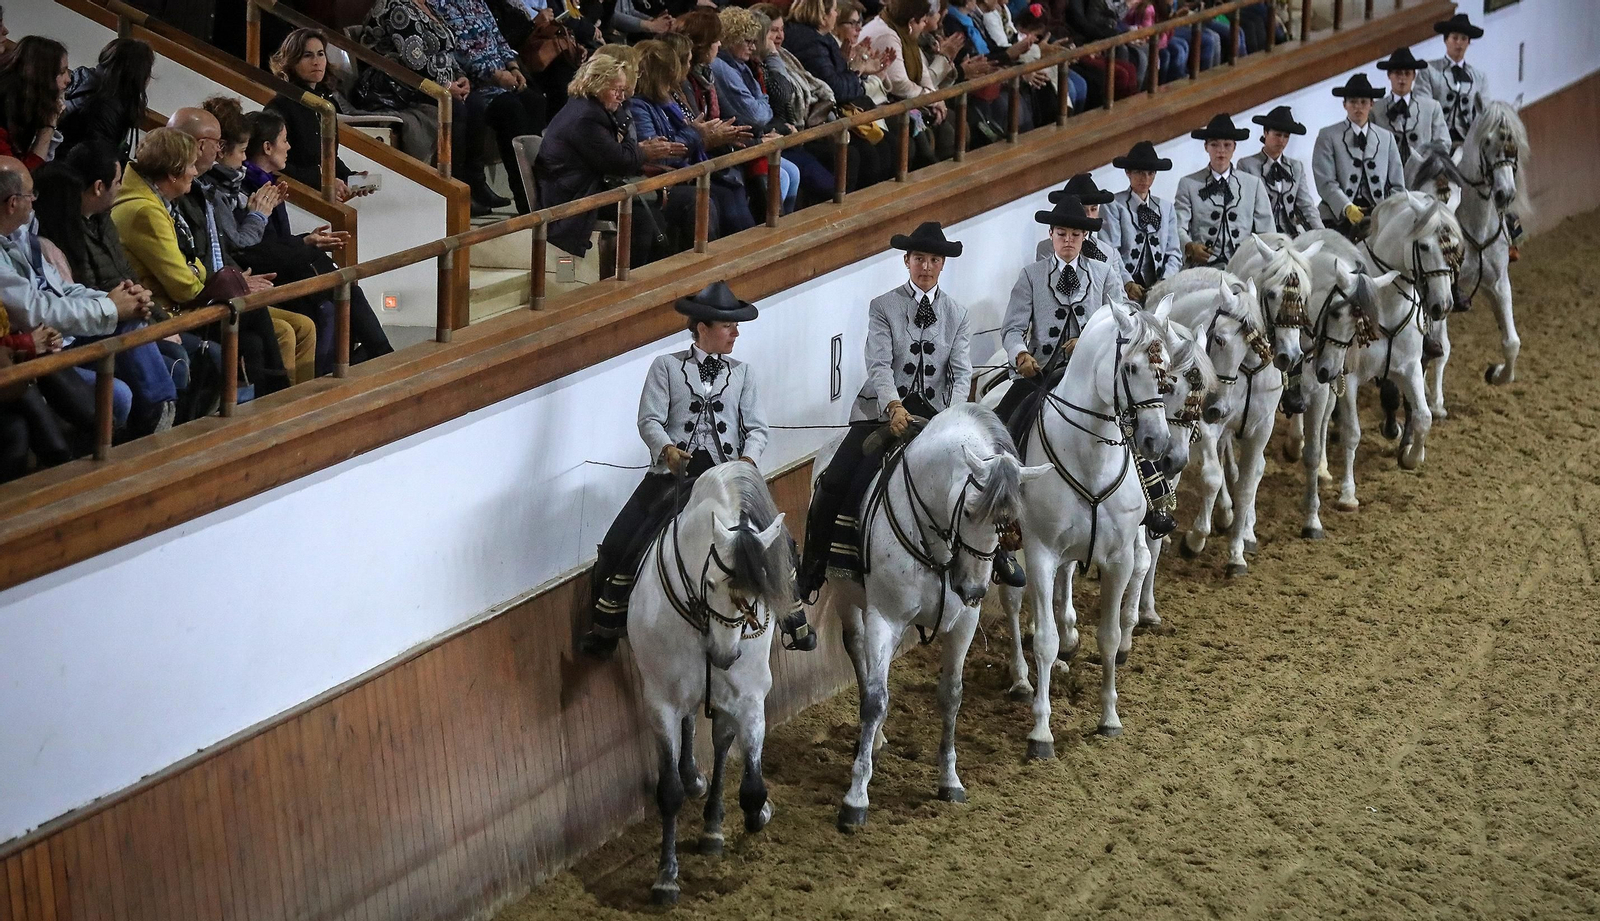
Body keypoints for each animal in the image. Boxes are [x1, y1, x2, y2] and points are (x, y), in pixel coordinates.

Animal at [626, 461, 796, 905]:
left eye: (759, 589)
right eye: (713, 584)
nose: (723, 655)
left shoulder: (748, 696)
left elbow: (751, 783)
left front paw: (756, 812)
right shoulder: (661, 703)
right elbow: (668, 791)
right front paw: (666, 877)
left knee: (721, 742)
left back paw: (714, 826)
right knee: (692, 725)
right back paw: (694, 781)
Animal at [816, 402, 1049, 832]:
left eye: (1007, 520)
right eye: (970, 510)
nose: (972, 589)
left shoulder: (964, 625)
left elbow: (951, 696)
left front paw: (949, 781)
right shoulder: (884, 618)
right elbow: (875, 699)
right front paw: (855, 799)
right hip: (846, 597)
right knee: (858, 653)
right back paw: (874, 740)